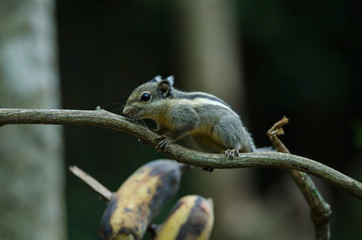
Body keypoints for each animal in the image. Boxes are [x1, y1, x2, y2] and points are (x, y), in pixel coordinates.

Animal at [123, 75, 258, 159]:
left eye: (145, 97)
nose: (125, 111)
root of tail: (244, 135)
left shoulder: (186, 116)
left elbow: (182, 129)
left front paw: (168, 139)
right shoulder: (163, 124)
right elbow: (161, 130)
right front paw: (153, 133)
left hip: (224, 127)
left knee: (236, 143)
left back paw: (232, 150)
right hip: (202, 140)